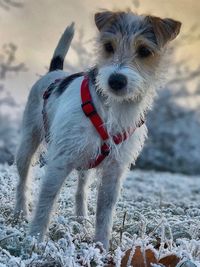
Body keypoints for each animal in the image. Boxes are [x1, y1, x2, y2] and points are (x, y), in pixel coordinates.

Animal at [14, 9, 181, 250]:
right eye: (108, 46)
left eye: (144, 51)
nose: (116, 80)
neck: (112, 108)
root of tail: (55, 73)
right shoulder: (60, 161)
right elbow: (46, 202)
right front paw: (34, 240)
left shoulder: (114, 170)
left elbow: (104, 213)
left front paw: (101, 247)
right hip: (28, 143)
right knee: (23, 180)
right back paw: (20, 213)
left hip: (87, 161)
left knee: (81, 190)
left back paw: (81, 219)